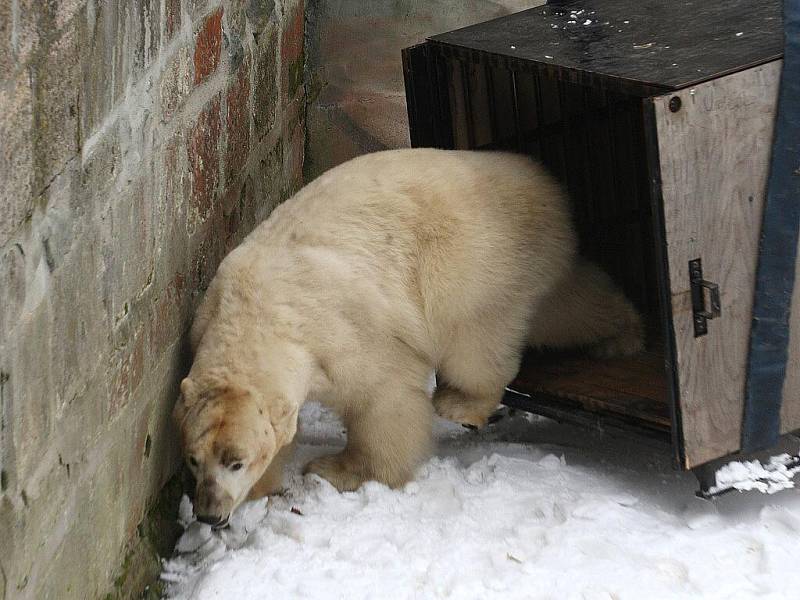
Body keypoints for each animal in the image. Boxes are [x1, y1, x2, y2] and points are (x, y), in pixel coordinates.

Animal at [173, 150, 644, 524]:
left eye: (236, 461)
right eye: (194, 460)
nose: (210, 514)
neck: (253, 313)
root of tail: (542, 181)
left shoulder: (345, 332)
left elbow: (382, 397)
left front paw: (338, 470)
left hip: (470, 263)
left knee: (479, 344)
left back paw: (462, 402)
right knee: (562, 301)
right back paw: (619, 331)